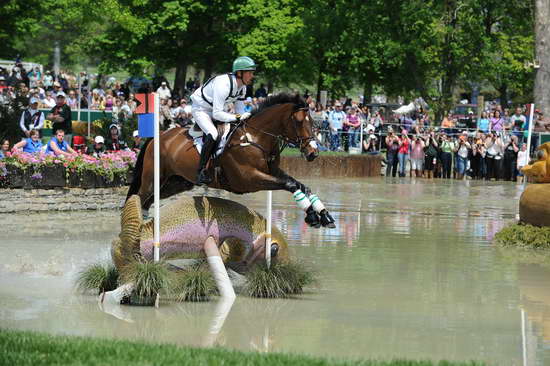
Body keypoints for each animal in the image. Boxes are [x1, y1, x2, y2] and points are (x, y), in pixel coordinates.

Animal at [128, 93, 338, 227]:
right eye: (299, 121)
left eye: (313, 122)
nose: (313, 153)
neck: (256, 137)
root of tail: (159, 136)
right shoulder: (250, 179)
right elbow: (290, 184)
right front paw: (312, 215)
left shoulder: (273, 172)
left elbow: (302, 185)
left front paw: (324, 215)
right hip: (153, 179)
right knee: (139, 196)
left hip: (176, 183)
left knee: (148, 201)